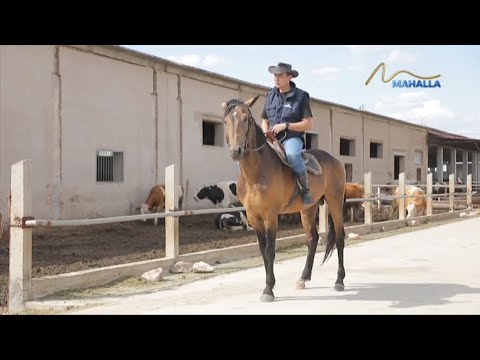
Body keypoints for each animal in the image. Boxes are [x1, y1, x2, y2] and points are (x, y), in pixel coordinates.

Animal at [223, 95, 346, 300]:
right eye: (225, 121)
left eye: (246, 119)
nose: (235, 151)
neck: (255, 174)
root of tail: (335, 161)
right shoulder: (253, 216)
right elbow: (262, 250)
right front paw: (268, 285)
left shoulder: (271, 215)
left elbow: (270, 250)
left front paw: (268, 289)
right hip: (308, 209)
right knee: (312, 239)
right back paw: (303, 278)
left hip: (335, 203)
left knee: (339, 237)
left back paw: (339, 280)